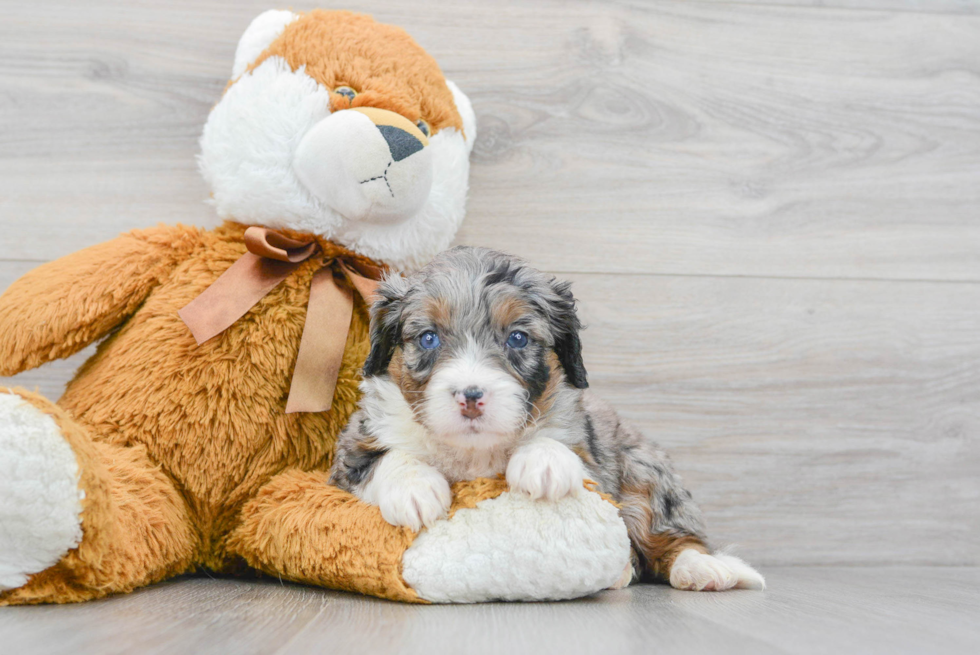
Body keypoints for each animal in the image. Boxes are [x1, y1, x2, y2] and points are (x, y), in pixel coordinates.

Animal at [330, 247, 764, 596]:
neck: (472, 450)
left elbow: (557, 443)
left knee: (672, 537)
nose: (471, 396)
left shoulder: (591, 459)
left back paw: (702, 566)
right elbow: (384, 457)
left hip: (644, 471)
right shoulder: (350, 452)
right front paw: (415, 489)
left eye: (518, 338)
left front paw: (545, 463)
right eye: (428, 338)